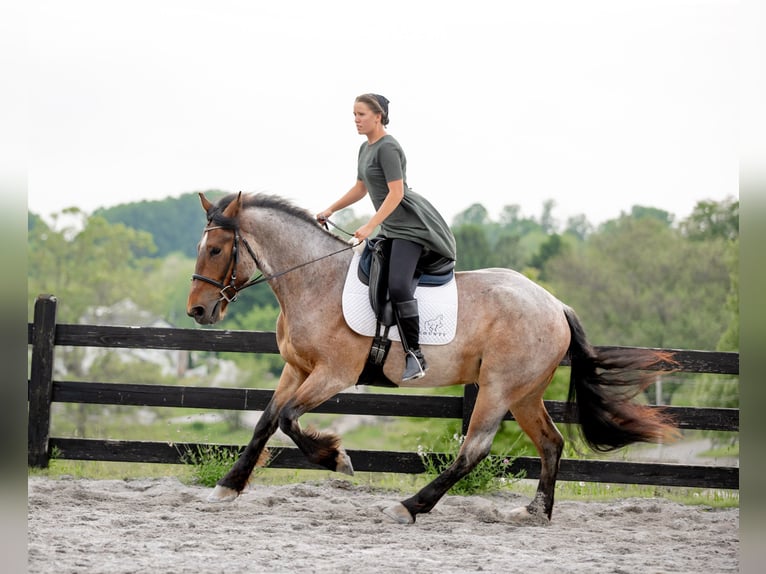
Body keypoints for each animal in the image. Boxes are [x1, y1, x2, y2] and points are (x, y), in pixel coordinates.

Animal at [186, 194, 680, 528]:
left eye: (216, 250)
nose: (198, 311)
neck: (313, 280)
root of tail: (556, 305)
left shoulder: (333, 374)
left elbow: (288, 419)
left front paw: (336, 458)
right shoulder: (297, 369)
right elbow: (265, 422)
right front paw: (228, 486)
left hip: (497, 389)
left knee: (474, 450)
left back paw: (410, 506)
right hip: (524, 394)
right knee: (551, 443)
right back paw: (536, 511)